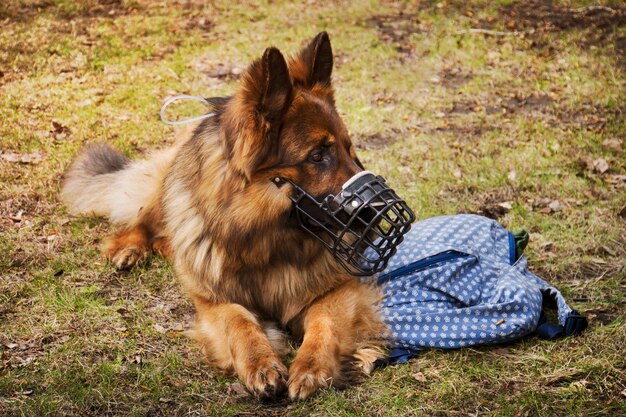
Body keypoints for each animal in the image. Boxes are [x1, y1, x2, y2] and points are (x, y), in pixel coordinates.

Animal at [61, 31, 388, 400]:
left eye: (350, 150)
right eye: (317, 156)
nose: (378, 212)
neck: (269, 244)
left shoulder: (339, 291)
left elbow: (324, 323)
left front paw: (311, 367)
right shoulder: (214, 302)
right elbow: (238, 320)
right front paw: (260, 362)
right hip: (168, 190)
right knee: (145, 218)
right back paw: (130, 246)